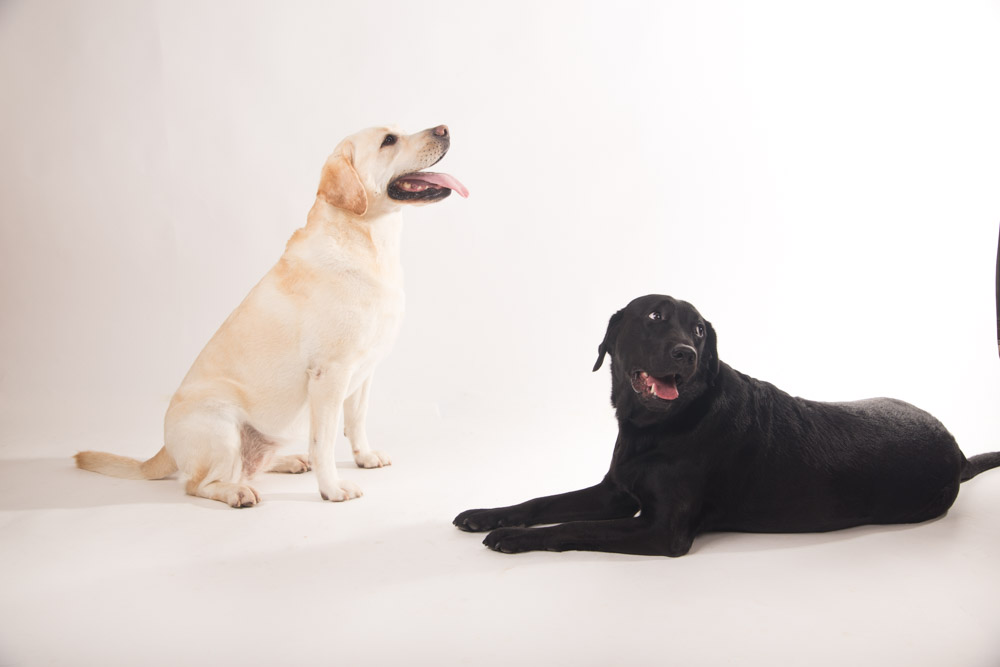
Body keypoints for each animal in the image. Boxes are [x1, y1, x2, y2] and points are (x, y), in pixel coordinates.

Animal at [76, 124, 466, 506]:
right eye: (389, 140)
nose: (445, 129)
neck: (369, 241)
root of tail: (163, 449)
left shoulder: (364, 371)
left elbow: (356, 421)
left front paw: (364, 457)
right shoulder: (330, 374)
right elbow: (324, 441)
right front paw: (332, 488)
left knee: (252, 465)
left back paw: (288, 461)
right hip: (221, 425)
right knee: (200, 484)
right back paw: (236, 492)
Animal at [456, 294, 1000, 556]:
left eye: (699, 330)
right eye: (654, 317)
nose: (686, 353)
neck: (654, 427)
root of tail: (957, 452)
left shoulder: (660, 530)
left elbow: (571, 525)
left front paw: (513, 539)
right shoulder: (614, 492)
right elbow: (542, 502)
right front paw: (487, 515)